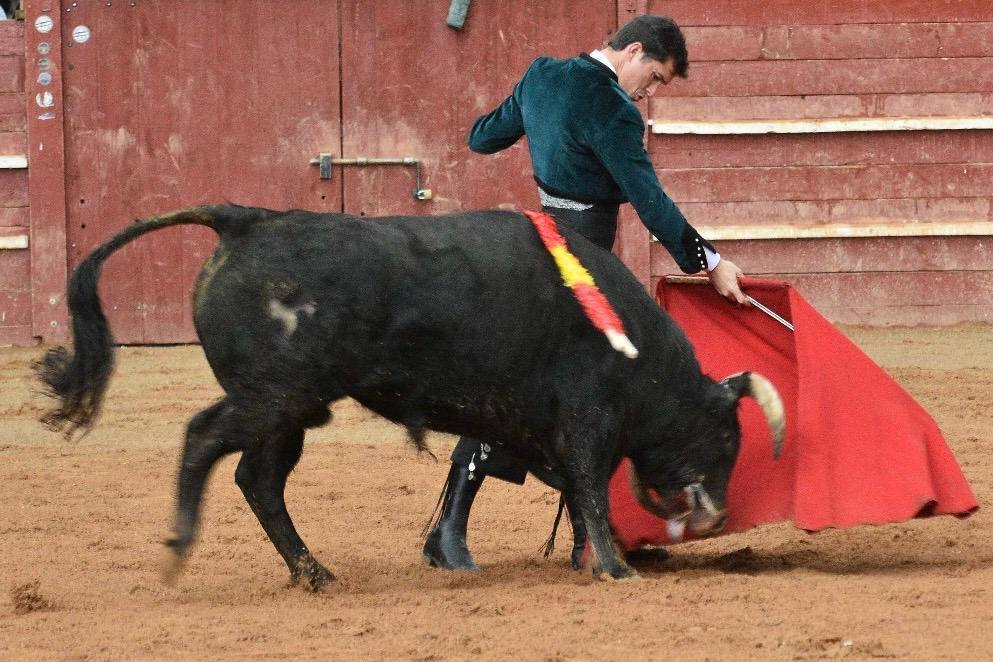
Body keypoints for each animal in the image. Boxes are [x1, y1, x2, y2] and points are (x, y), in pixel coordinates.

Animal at [36, 205, 784, 588]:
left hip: (291, 412)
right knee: (204, 439)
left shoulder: (543, 431)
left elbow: (572, 491)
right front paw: (615, 568)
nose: (717, 513)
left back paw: (314, 573)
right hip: (272, 397)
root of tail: (246, 221)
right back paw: (181, 548)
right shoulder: (586, 419)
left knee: (259, 479)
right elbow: (592, 492)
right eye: (726, 437)